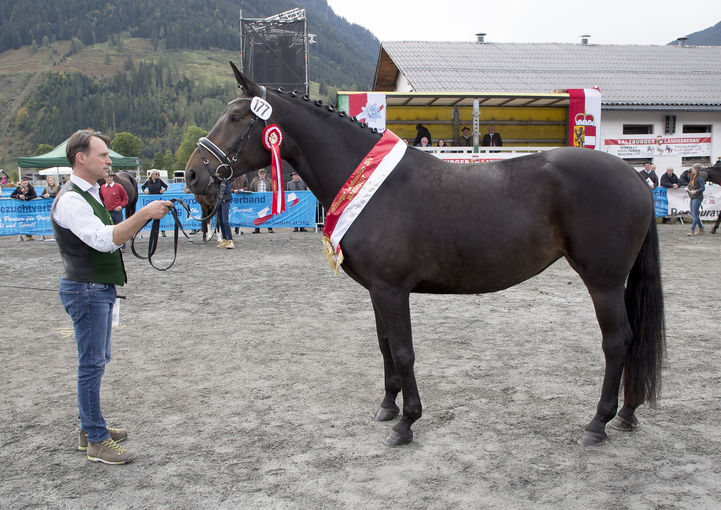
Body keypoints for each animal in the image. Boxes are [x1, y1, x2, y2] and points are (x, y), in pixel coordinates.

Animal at [184, 62, 664, 446]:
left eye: (235, 116)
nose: (191, 175)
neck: (373, 187)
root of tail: (636, 178)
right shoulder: (376, 291)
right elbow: (383, 347)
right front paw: (387, 407)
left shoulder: (393, 290)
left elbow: (403, 350)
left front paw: (407, 423)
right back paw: (626, 414)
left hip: (603, 281)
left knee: (617, 341)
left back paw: (598, 423)